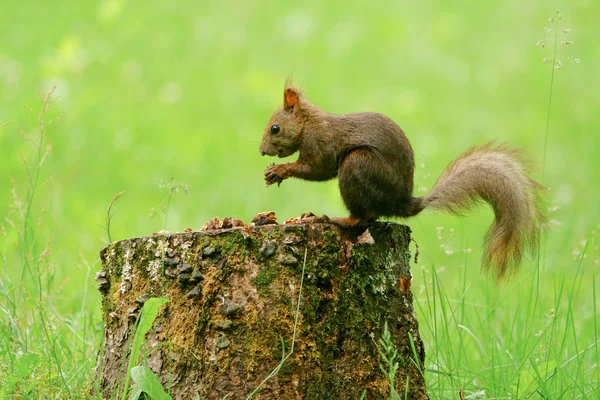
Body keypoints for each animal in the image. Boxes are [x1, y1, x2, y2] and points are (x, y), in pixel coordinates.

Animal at [260, 82, 548, 278]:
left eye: (275, 128)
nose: (262, 151)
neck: (309, 123)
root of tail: (400, 202)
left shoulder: (321, 144)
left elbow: (317, 170)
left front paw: (279, 171)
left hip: (358, 165)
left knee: (362, 218)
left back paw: (333, 219)